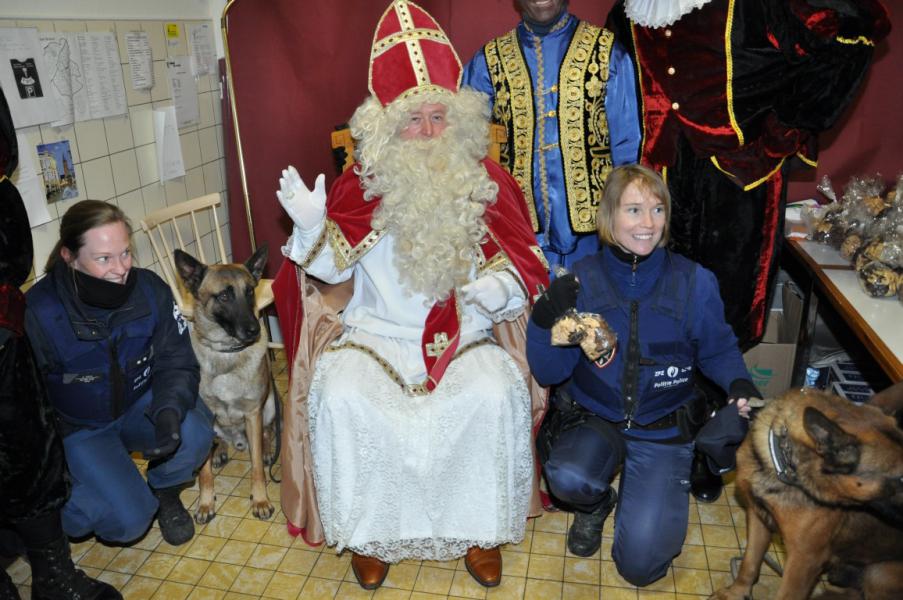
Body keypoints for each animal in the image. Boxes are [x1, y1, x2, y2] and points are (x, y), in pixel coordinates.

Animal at [174, 246, 276, 524]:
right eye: (223, 296)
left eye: (250, 291)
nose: (254, 330)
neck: (227, 354)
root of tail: (237, 441)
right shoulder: (206, 415)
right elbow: (204, 473)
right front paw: (206, 503)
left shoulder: (253, 413)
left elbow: (257, 468)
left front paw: (260, 500)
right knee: (217, 442)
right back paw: (219, 450)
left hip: (271, 405)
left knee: (267, 433)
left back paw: (265, 449)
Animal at [712, 384, 903, 600]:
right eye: (902, 478)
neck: (785, 468)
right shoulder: (758, 518)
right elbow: (749, 563)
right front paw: (735, 592)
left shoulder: (804, 560)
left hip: (879, 575)